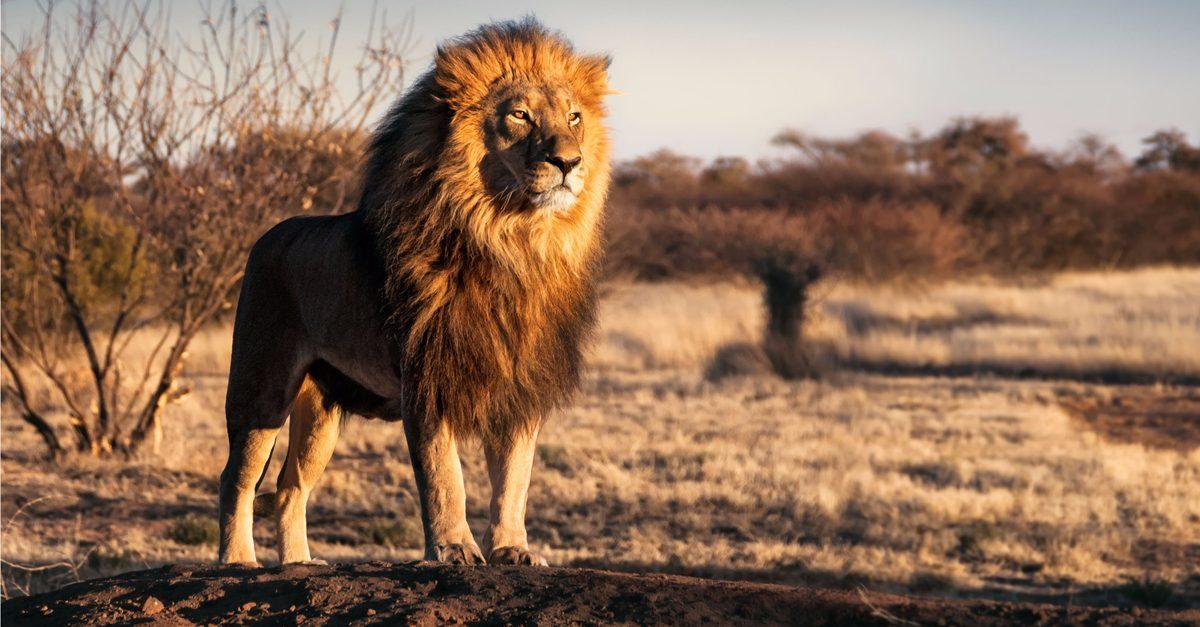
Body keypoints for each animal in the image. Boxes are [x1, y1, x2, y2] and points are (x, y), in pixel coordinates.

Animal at [217, 19, 612, 567]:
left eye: (574, 117)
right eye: (519, 115)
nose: (569, 161)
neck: (512, 242)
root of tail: (268, 235)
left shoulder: (520, 383)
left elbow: (514, 479)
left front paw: (512, 549)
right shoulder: (427, 376)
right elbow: (445, 475)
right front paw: (454, 549)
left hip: (321, 410)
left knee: (290, 486)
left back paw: (299, 562)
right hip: (261, 388)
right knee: (237, 477)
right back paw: (237, 560)